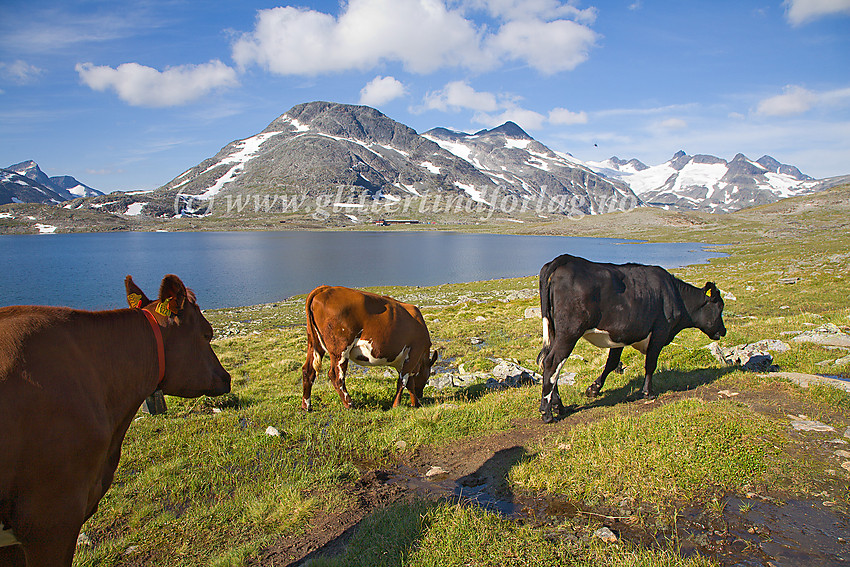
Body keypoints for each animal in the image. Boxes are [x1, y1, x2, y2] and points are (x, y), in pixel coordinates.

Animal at [300, 286, 434, 410]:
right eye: (427, 376)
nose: (421, 394)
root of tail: (325, 288)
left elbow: (409, 383)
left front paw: (415, 403)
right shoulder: (414, 353)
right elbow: (403, 381)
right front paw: (397, 405)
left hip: (314, 343)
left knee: (308, 370)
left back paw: (307, 406)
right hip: (340, 349)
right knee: (336, 375)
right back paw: (350, 404)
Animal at [536, 255, 724, 424]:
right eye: (720, 306)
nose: (724, 331)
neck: (675, 296)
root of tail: (564, 259)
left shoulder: (620, 335)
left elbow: (612, 363)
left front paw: (593, 389)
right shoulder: (660, 331)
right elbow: (651, 363)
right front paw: (648, 392)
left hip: (554, 330)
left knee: (549, 363)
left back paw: (559, 406)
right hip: (569, 332)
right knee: (552, 362)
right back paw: (547, 413)